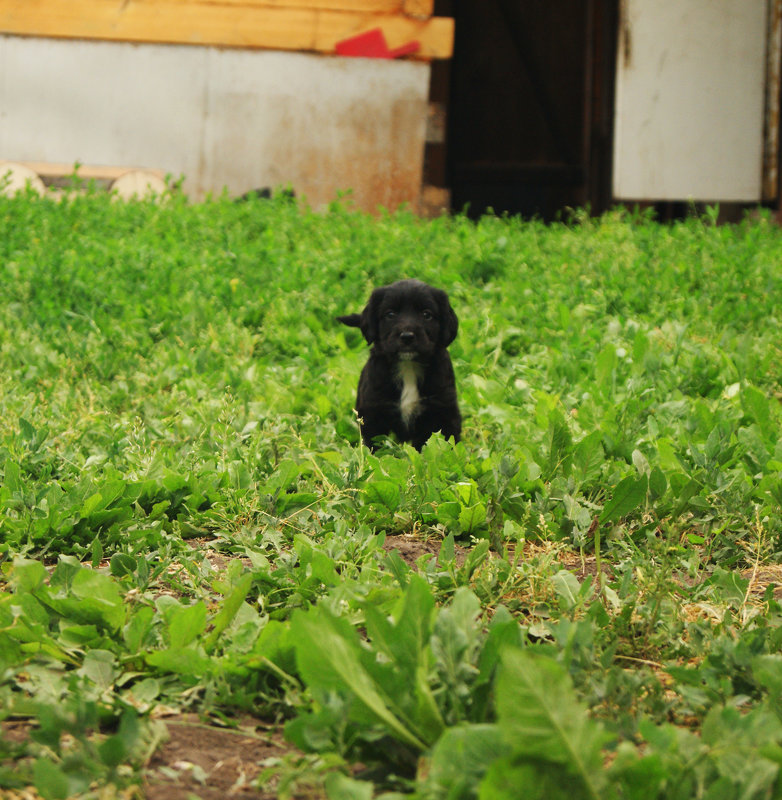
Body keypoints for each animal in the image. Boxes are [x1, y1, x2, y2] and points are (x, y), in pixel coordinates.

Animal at [338, 280, 462, 450]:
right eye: (390, 314)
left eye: (426, 315)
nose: (407, 336)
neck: (408, 367)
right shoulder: (373, 413)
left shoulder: (444, 410)